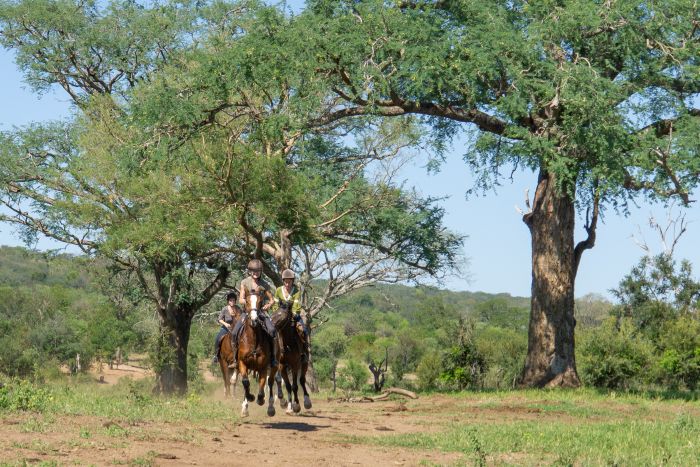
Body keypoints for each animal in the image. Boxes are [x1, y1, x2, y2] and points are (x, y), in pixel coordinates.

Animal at [237, 290, 278, 418]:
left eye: (260, 302)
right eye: (247, 301)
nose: (254, 320)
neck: (253, 339)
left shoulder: (263, 367)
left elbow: (262, 383)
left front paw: (260, 399)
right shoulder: (242, 363)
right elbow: (245, 382)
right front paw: (250, 398)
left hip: (274, 367)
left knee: (270, 382)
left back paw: (270, 408)